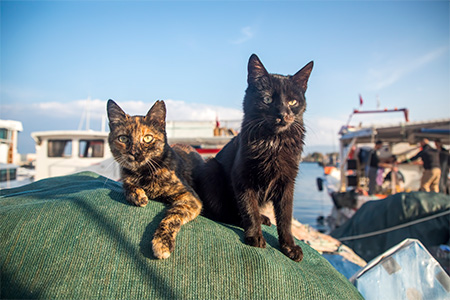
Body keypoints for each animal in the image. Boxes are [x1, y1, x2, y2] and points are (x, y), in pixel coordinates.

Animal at [107, 99, 202, 258]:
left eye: (147, 138)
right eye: (123, 138)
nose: (135, 153)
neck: (144, 174)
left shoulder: (190, 197)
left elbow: (172, 216)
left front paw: (162, 243)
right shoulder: (126, 176)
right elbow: (127, 185)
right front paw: (138, 195)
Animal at [195, 55, 314, 262]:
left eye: (292, 102)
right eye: (267, 99)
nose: (283, 114)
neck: (273, 142)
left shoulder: (287, 182)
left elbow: (285, 217)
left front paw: (289, 246)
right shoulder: (242, 177)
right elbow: (249, 208)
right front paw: (254, 235)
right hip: (211, 168)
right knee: (223, 213)